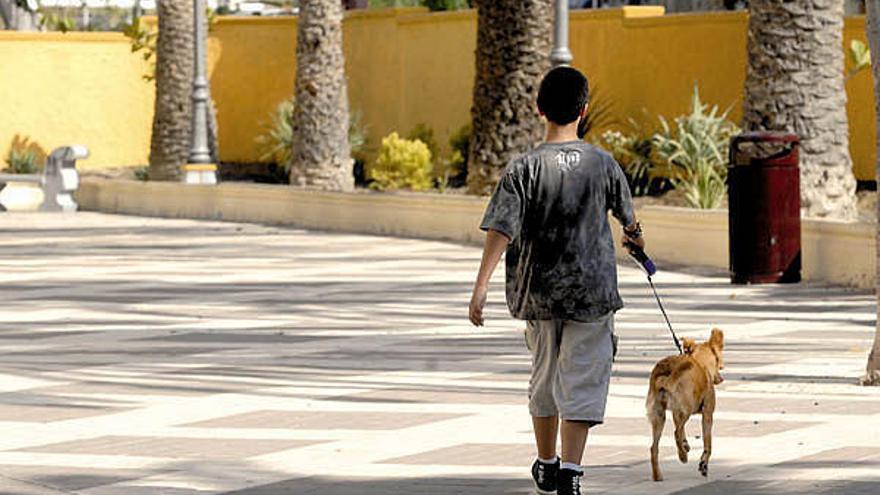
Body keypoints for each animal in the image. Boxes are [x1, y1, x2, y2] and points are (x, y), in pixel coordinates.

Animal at [644, 328, 724, 482]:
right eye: (718, 361)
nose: (720, 379)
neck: (700, 363)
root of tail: (669, 370)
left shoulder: (676, 412)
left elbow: (682, 431)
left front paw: (685, 443)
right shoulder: (707, 414)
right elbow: (708, 443)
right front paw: (703, 464)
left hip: (659, 415)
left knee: (654, 447)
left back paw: (658, 475)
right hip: (686, 409)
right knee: (676, 433)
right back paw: (682, 456)